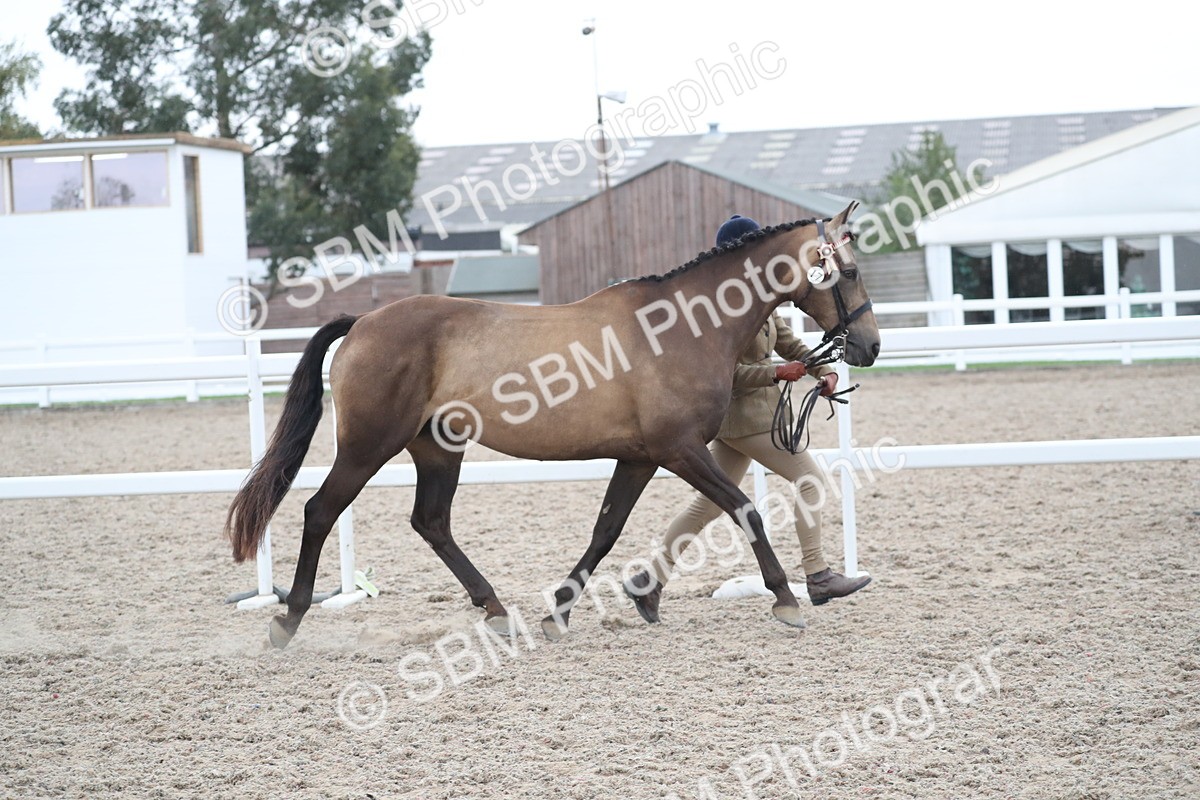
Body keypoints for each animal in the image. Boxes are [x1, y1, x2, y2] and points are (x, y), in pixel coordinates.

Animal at [225, 202, 880, 649]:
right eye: (847, 272)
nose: (869, 346)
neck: (682, 327)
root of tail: (362, 322)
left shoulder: (641, 456)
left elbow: (605, 530)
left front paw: (561, 610)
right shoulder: (679, 449)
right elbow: (744, 510)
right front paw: (787, 599)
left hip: (437, 449)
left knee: (431, 522)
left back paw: (496, 611)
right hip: (368, 447)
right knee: (320, 511)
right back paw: (287, 620)